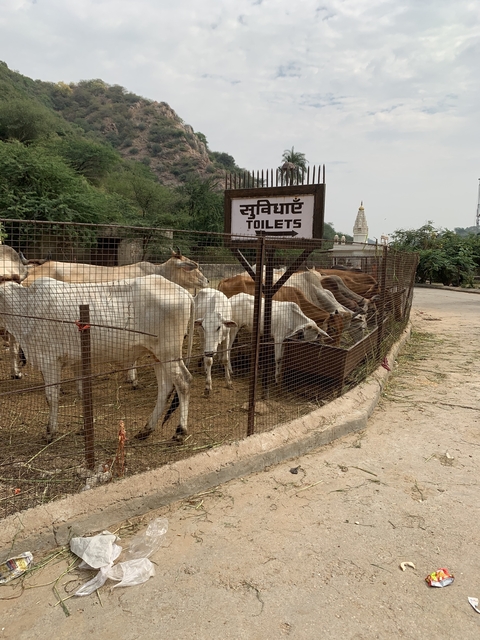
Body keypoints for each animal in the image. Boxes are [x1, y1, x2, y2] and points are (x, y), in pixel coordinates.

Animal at [0, 275, 193, 443]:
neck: (26, 307)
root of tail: (184, 292)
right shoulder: (77, 362)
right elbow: (82, 394)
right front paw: (84, 428)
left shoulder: (49, 361)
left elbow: (51, 397)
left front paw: (50, 432)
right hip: (157, 355)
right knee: (165, 388)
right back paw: (146, 430)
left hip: (169, 353)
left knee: (183, 383)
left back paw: (180, 431)